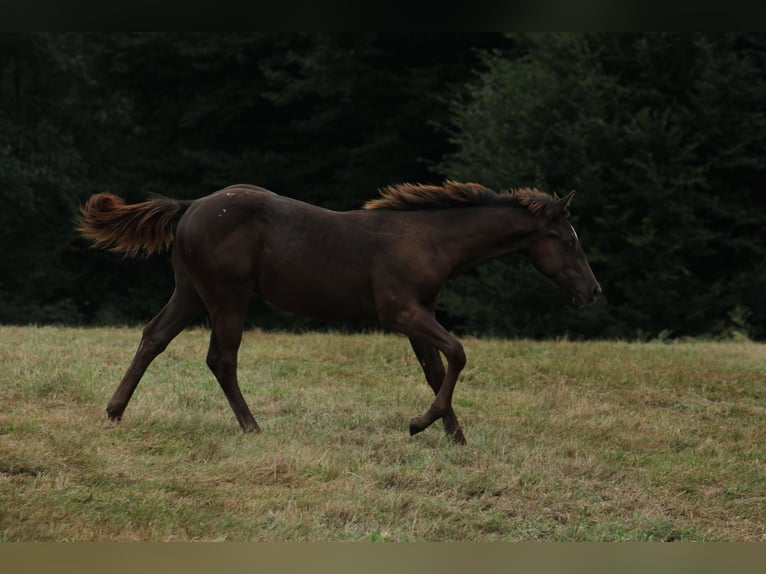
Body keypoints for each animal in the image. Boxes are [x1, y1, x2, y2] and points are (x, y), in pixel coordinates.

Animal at [79, 181, 608, 446]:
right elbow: (458, 354)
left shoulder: (418, 316)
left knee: (154, 336)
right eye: (567, 241)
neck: (430, 240)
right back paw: (252, 427)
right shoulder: (401, 313)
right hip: (228, 296)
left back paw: (114, 411)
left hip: (191, 290)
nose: (593, 292)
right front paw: (421, 424)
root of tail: (189, 206)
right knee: (220, 359)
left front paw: (453, 435)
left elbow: (437, 370)